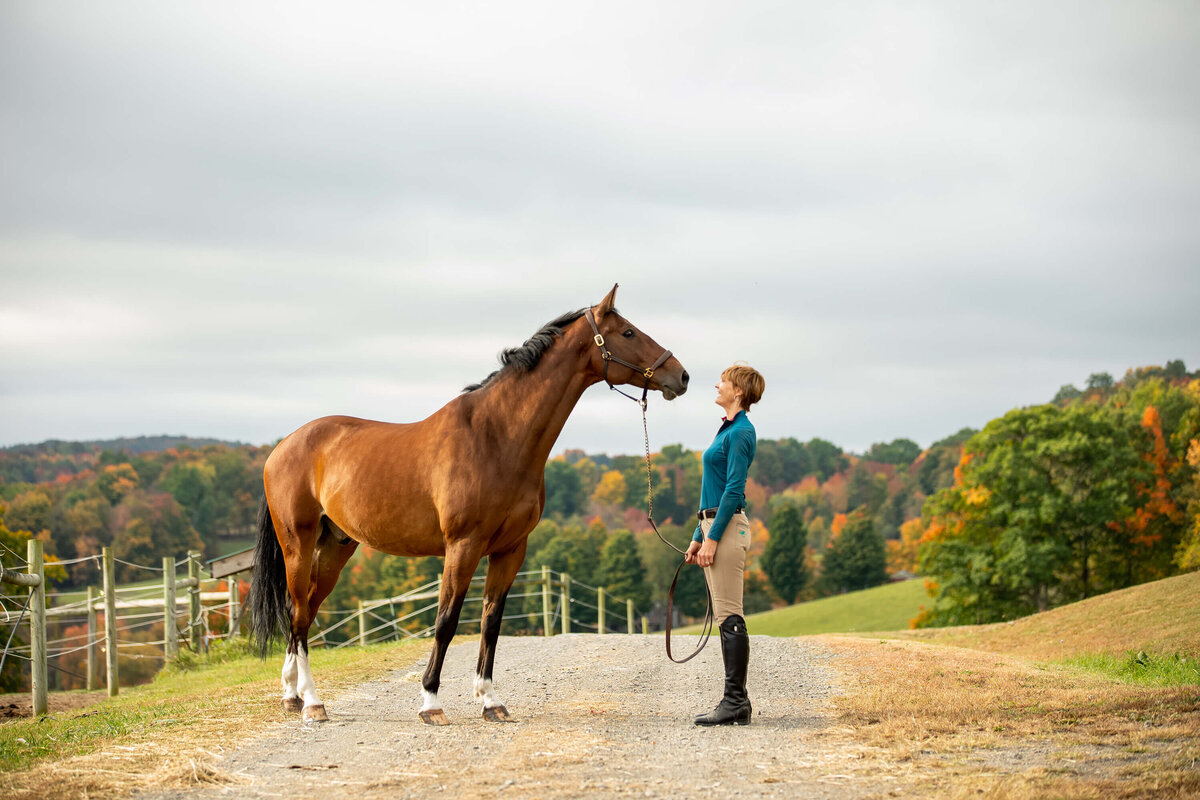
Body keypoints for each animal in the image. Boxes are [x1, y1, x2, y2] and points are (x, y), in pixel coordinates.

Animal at [248, 286, 691, 724]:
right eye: (628, 332)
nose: (681, 375)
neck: (496, 437)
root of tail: (283, 445)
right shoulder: (463, 546)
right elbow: (446, 621)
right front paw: (431, 702)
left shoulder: (510, 550)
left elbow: (491, 622)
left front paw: (490, 701)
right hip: (298, 545)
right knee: (299, 613)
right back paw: (311, 701)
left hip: (336, 548)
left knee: (303, 612)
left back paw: (292, 695)